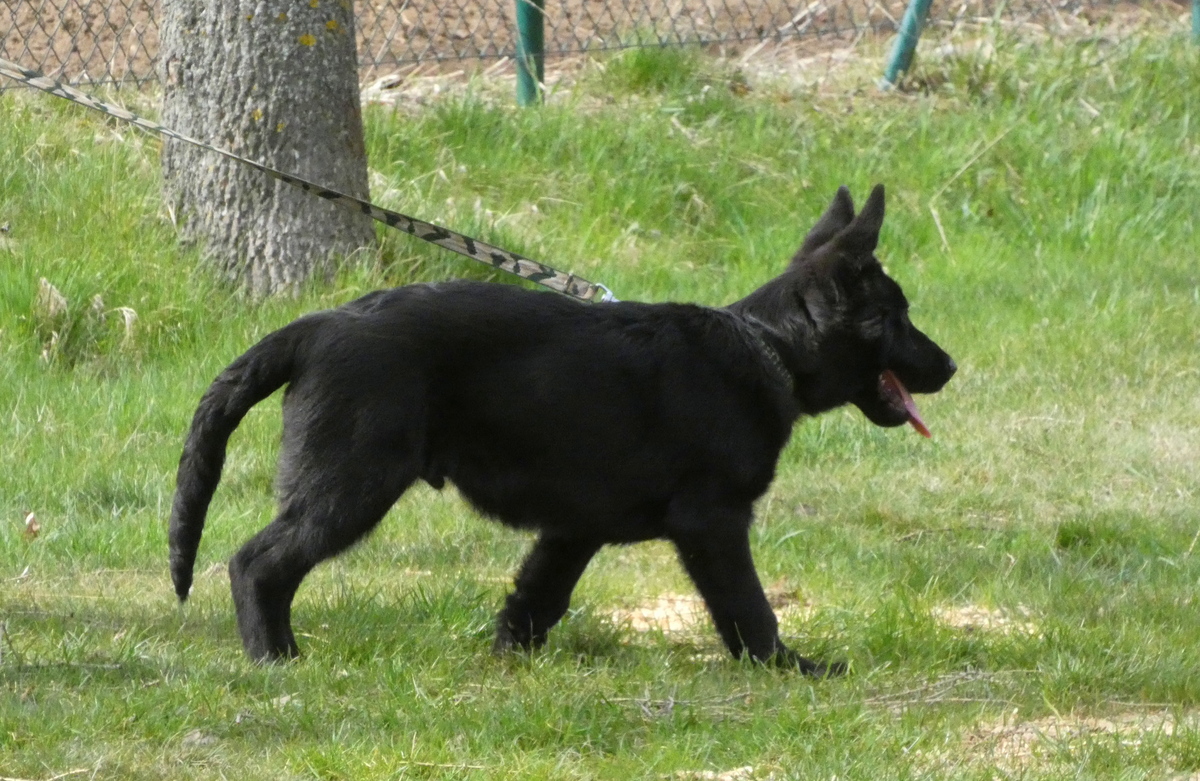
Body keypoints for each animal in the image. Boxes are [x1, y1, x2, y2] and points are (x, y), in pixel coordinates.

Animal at [169, 184, 956, 675]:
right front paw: (791, 669)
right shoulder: (714, 522)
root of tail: (316, 325)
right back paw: (277, 660)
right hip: (353, 482)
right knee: (257, 562)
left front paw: (509, 661)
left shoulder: (575, 528)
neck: (767, 348)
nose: (950, 365)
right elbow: (748, 609)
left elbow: (536, 598)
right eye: (897, 317)